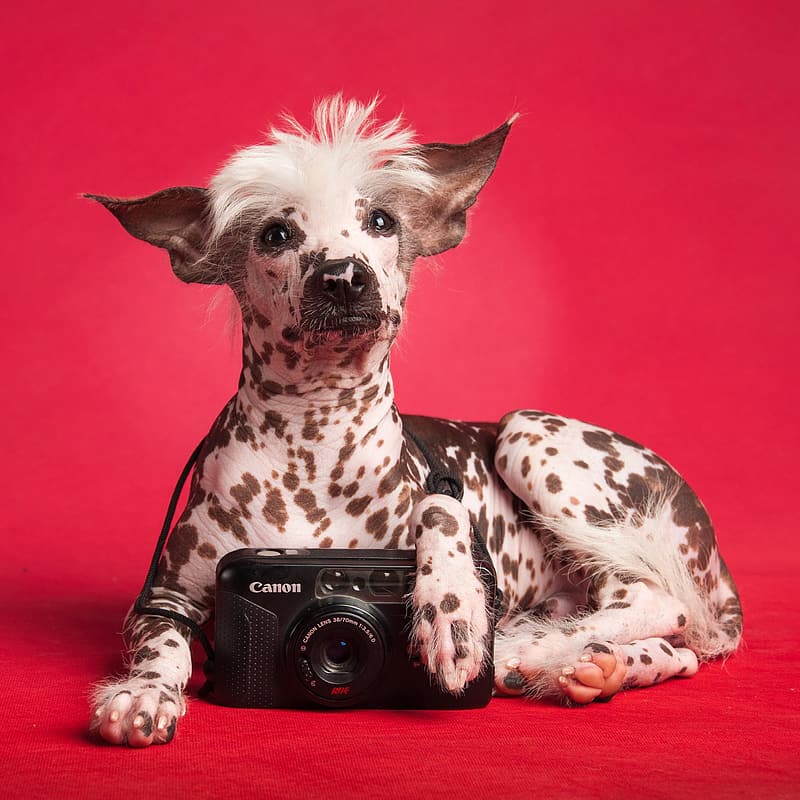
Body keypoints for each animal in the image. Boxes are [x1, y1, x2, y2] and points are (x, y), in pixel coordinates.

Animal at [89, 97, 744, 748]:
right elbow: (162, 645)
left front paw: (452, 604)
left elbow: (440, 508)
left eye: (381, 221)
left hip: (528, 436)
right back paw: (590, 666)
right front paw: (144, 692)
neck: (313, 435)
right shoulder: (163, 596)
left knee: (662, 603)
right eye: (276, 234)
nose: (343, 275)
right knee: (681, 650)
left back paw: (533, 649)